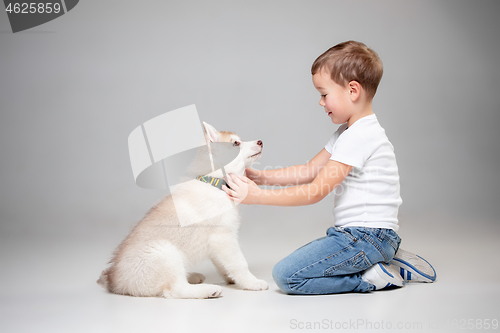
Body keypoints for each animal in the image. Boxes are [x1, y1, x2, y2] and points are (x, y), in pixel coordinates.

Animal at [98, 122, 270, 298]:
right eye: (236, 143)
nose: (260, 141)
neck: (214, 182)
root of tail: (114, 281)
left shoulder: (216, 244)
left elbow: (224, 264)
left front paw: (232, 279)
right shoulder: (223, 237)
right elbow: (239, 263)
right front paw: (252, 282)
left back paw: (192, 276)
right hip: (165, 251)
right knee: (175, 289)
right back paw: (208, 290)